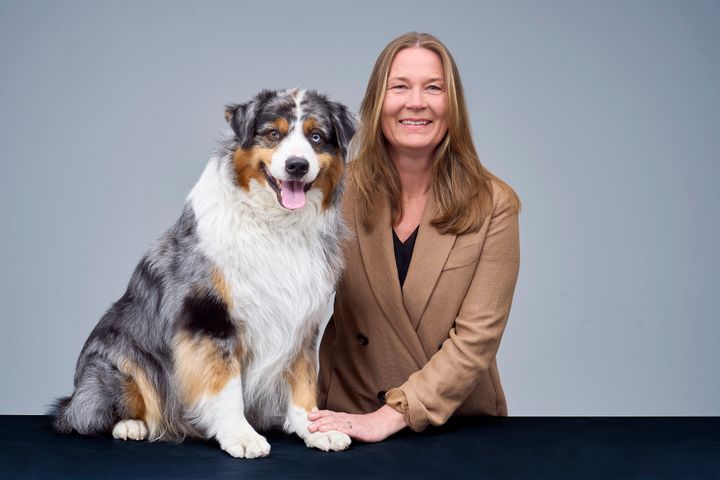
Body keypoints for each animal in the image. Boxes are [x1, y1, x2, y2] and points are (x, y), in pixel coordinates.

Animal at [48, 88, 358, 460]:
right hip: (118, 361)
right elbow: (226, 387)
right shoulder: (208, 317)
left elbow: (303, 380)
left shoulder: (301, 318)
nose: (297, 165)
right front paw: (241, 436)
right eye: (273, 134)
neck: (275, 225)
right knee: (89, 414)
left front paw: (315, 429)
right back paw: (130, 425)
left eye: (316, 137)